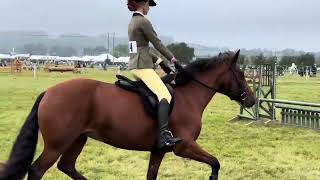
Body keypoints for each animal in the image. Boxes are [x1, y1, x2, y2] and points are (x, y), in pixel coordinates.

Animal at [0, 50, 255, 180]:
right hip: (57, 144)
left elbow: (151, 175)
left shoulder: (158, 151)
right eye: (241, 73)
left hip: (77, 139)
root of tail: (49, 92)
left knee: (67, 166)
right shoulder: (184, 146)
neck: (189, 96)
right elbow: (215, 163)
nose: (251, 100)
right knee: (37, 170)